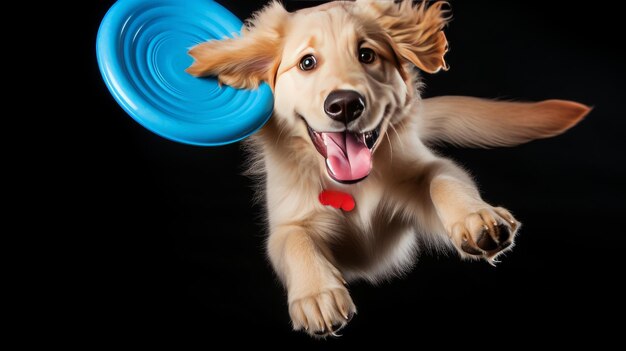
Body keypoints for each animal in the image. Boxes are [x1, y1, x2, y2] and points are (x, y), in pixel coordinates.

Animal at [184, 0, 584, 338]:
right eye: (307, 63)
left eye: (367, 54)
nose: (345, 104)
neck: (353, 185)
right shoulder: (287, 220)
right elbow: (293, 239)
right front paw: (316, 294)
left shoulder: (421, 180)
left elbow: (444, 179)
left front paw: (476, 218)